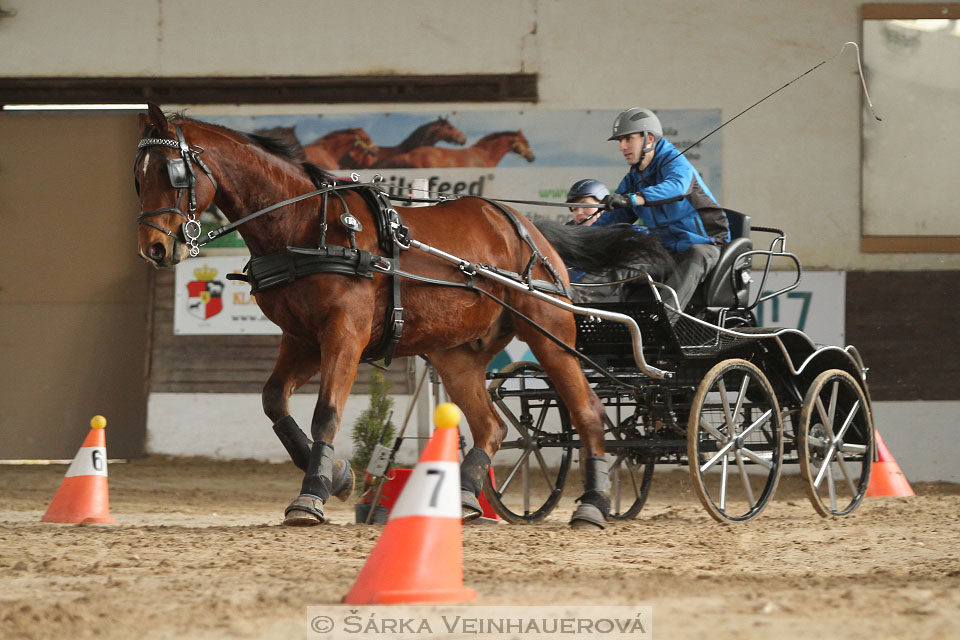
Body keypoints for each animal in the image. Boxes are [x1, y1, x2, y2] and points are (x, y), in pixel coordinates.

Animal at [135, 104, 668, 524]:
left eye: (173, 173)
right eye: (138, 177)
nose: (155, 248)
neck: (308, 225)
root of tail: (525, 226)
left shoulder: (344, 335)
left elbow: (326, 412)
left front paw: (312, 495)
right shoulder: (302, 338)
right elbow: (274, 402)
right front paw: (341, 477)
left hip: (550, 334)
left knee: (588, 411)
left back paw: (593, 504)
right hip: (456, 354)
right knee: (492, 427)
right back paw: (467, 499)